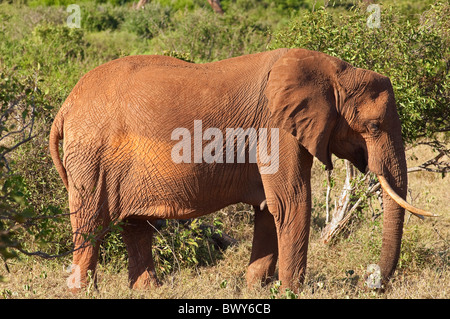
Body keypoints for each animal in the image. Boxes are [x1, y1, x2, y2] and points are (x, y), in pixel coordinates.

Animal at [49, 48, 432, 292]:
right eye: (374, 127)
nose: (373, 283)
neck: (335, 71)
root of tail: (66, 106)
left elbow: (269, 208)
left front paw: (256, 288)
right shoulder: (276, 128)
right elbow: (292, 202)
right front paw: (292, 290)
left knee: (134, 225)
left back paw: (149, 291)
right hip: (91, 154)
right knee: (90, 223)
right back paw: (82, 290)